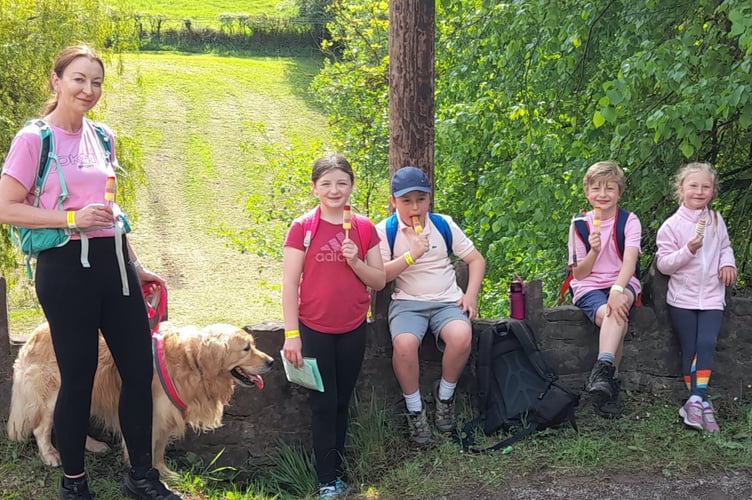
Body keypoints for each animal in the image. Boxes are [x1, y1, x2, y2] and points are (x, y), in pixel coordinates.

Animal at [7, 322, 274, 478]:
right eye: (246, 348)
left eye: (253, 345)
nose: (272, 361)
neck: (192, 362)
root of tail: (34, 333)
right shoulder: (151, 413)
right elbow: (146, 449)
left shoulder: (166, 415)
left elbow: (159, 449)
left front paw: (165, 472)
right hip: (54, 392)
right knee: (42, 428)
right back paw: (50, 455)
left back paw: (94, 445)